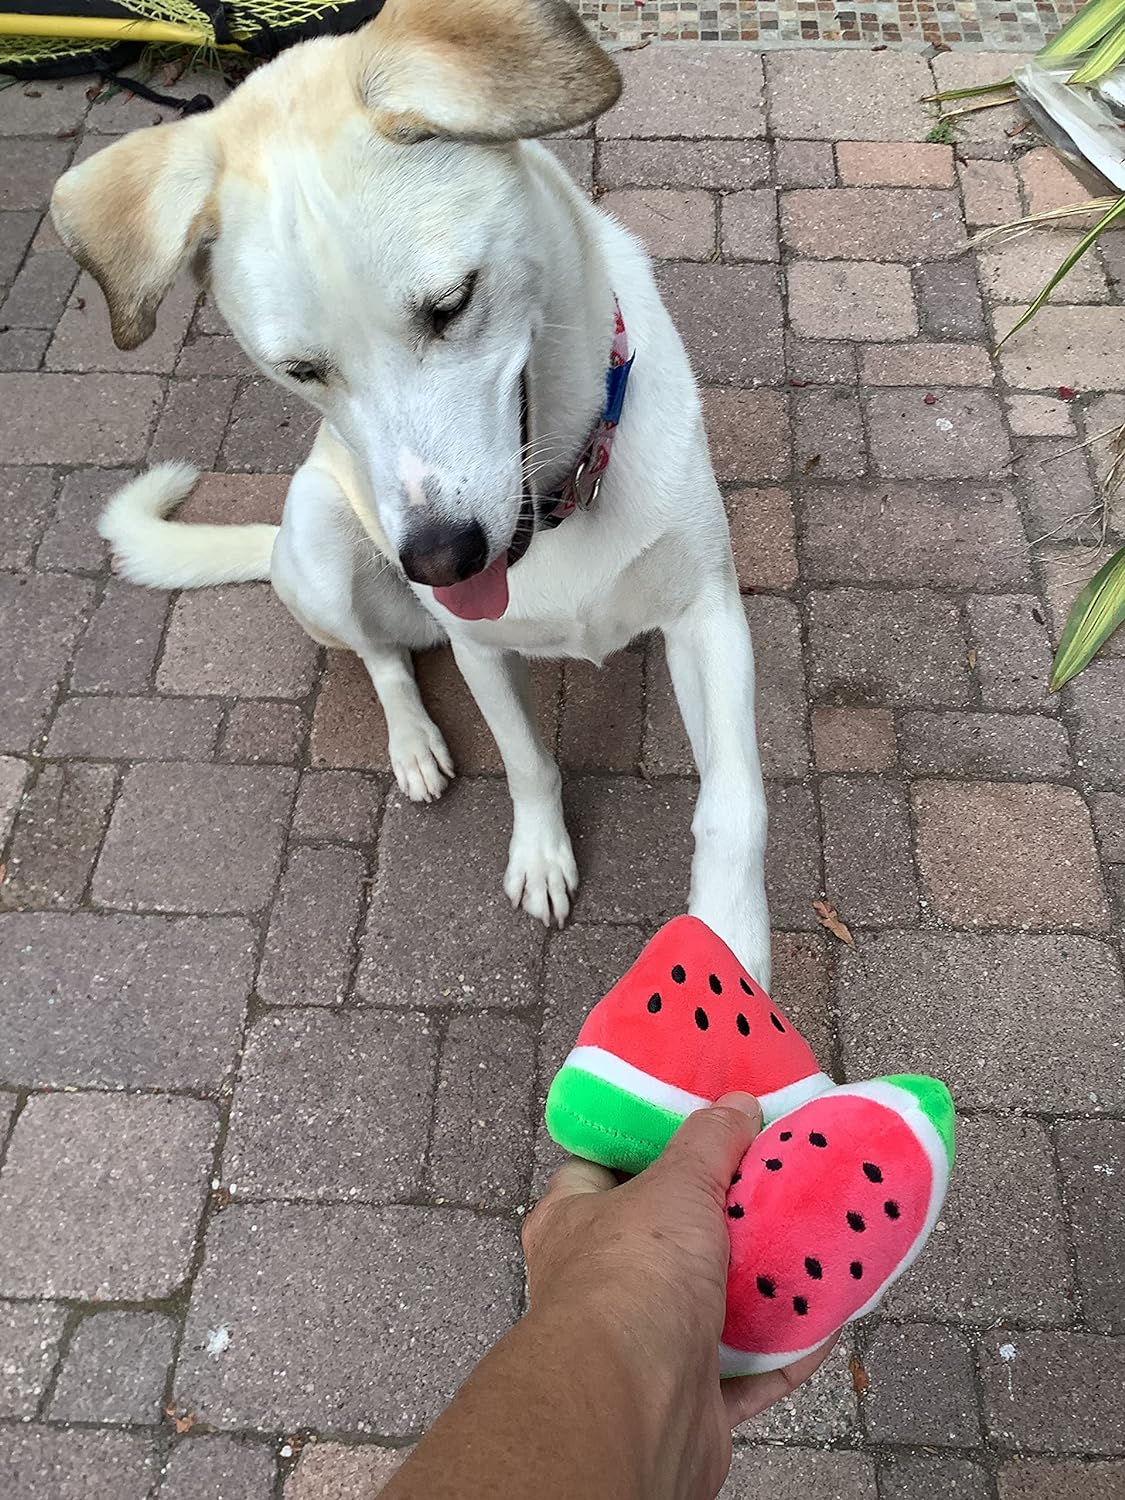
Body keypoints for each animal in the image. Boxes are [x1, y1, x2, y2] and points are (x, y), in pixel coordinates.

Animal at [50, 0, 774, 984]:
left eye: (451, 303)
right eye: (300, 371)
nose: (440, 559)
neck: (557, 505)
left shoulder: (706, 610)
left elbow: (733, 803)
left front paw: (730, 944)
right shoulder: (478, 647)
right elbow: (526, 761)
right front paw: (540, 854)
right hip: (320, 542)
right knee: (380, 656)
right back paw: (414, 743)